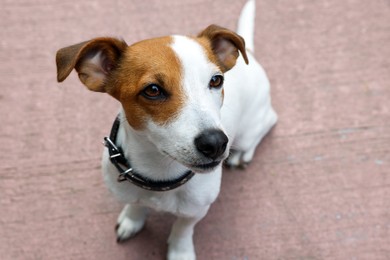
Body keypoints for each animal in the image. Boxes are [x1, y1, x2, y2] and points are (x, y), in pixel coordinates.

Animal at [56, 0, 278, 258]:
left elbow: (182, 229)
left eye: (216, 80)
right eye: (153, 90)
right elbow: (135, 205)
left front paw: (180, 251)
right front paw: (132, 219)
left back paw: (243, 153)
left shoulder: (195, 210)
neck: (159, 174)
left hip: (249, 129)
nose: (215, 143)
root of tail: (249, 54)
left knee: (268, 121)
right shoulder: (130, 192)